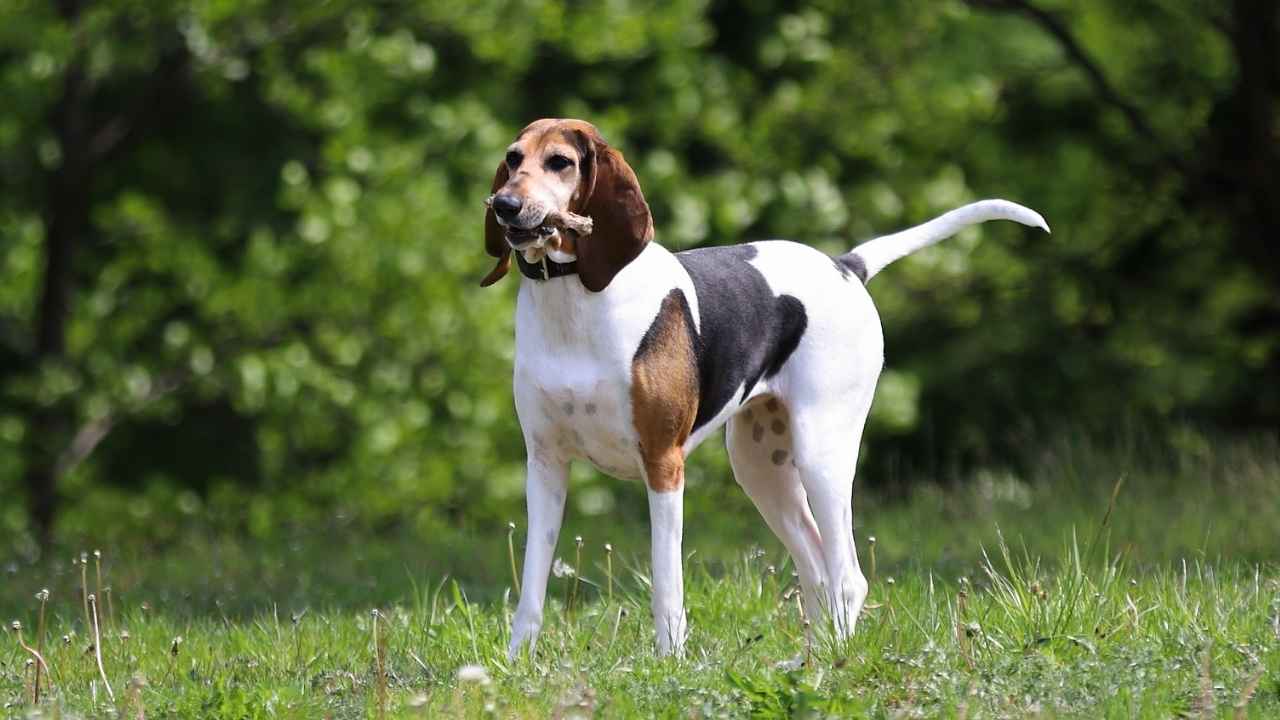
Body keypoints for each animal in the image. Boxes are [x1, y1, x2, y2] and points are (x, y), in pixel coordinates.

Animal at [481, 116, 1049, 655]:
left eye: (560, 162)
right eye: (512, 159)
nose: (506, 205)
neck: (574, 300)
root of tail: (845, 266)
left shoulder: (663, 464)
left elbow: (667, 587)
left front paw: (668, 662)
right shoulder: (546, 465)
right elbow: (532, 588)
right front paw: (517, 663)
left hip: (822, 455)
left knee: (848, 578)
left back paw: (835, 659)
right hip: (761, 469)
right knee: (818, 571)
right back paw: (810, 659)